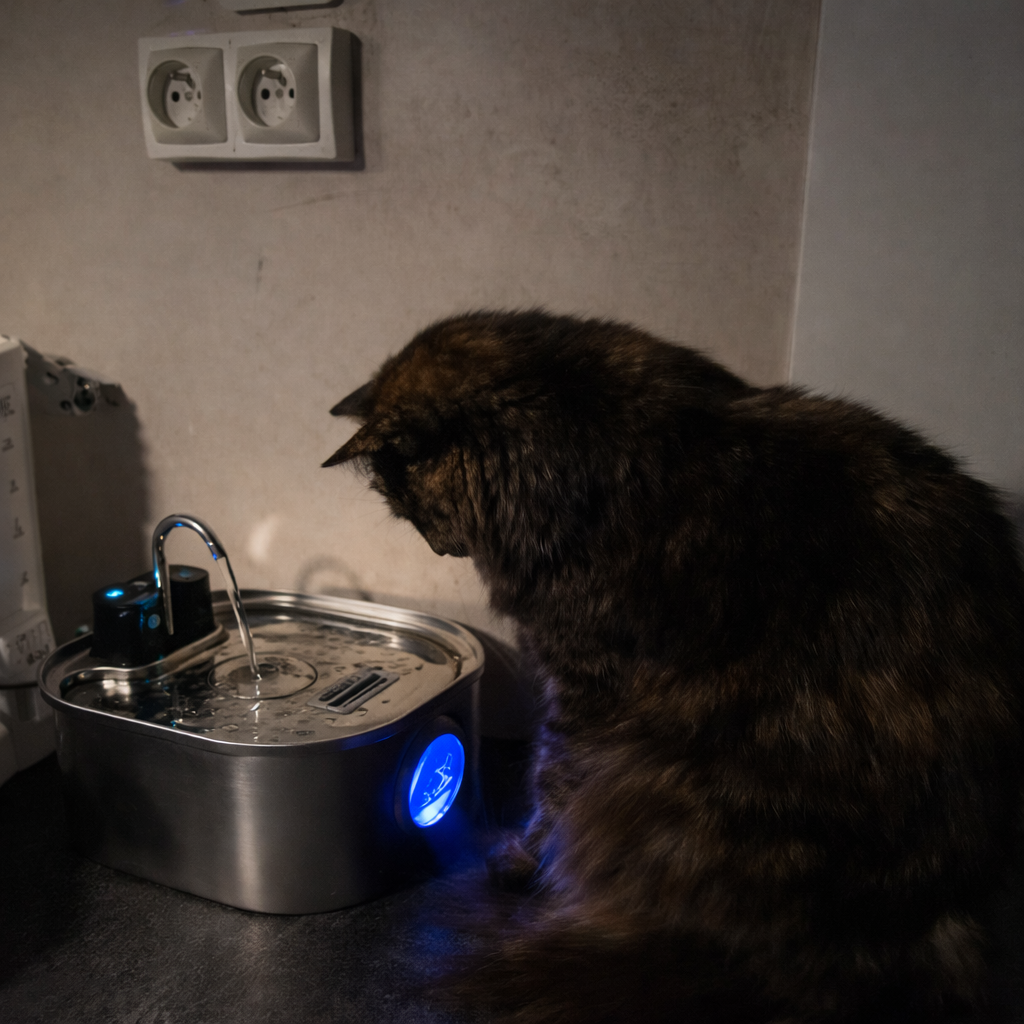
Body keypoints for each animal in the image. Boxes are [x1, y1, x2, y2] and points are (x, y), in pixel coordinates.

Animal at [324, 310, 1024, 1023]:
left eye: (413, 511)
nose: (441, 547)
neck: (577, 436)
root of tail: (930, 913)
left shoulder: (583, 679)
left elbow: (553, 779)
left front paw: (521, 860)